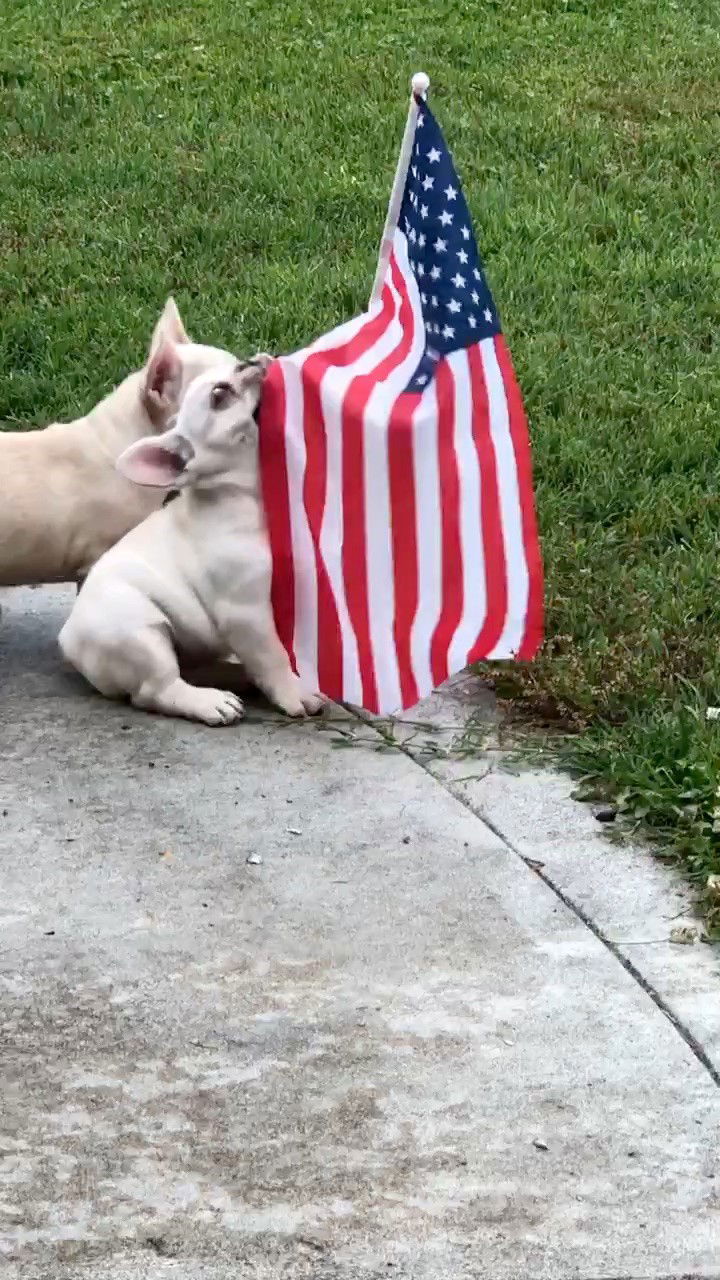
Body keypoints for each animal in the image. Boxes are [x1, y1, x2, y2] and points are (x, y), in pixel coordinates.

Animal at [58, 355, 322, 727]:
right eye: (219, 395)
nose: (251, 360)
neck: (245, 495)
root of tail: (67, 639)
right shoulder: (246, 612)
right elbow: (272, 655)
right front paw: (294, 692)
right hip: (139, 631)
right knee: (158, 688)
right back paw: (210, 702)